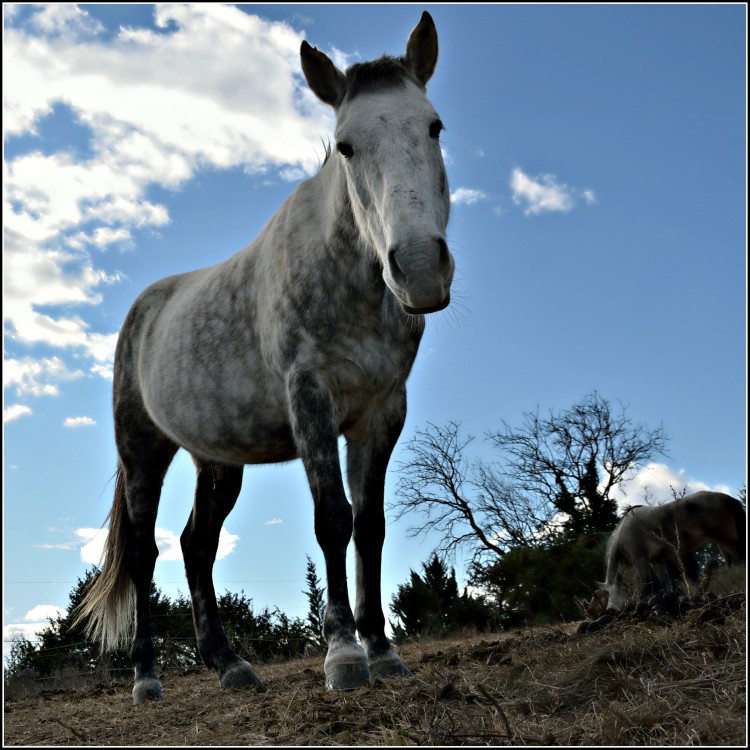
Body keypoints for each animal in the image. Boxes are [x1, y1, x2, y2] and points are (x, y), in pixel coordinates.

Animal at [73, 11, 456, 704]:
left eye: (434, 126)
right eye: (346, 146)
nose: (417, 267)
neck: (346, 274)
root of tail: (143, 312)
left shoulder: (382, 413)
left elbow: (371, 525)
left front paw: (383, 650)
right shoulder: (311, 400)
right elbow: (333, 519)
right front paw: (343, 655)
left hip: (217, 460)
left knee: (197, 545)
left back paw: (229, 664)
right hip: (143, 451)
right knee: (144, 554)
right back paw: (146, 677)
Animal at [592, 490, 748, 612]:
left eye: (611, 594)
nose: (610, 610)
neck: (622, 533)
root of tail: (728, 499)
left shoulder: (640, 559)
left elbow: (647, 584)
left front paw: (638, 603)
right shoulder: (656, 560)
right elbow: (666, 584)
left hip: (728, 540)